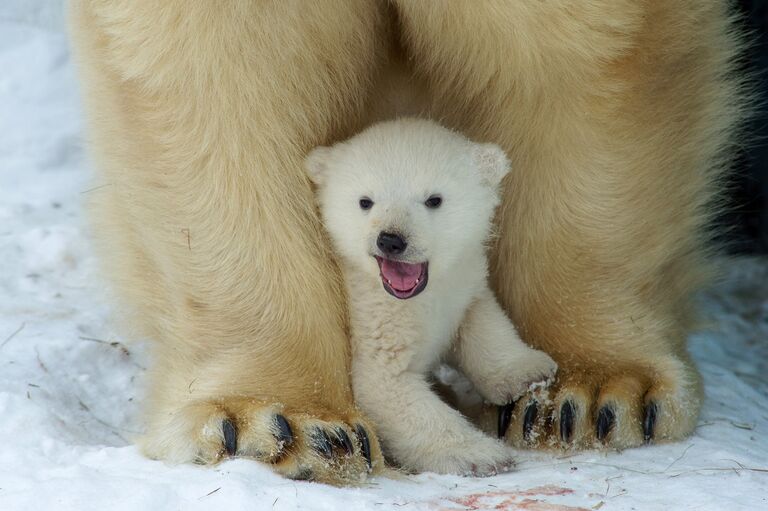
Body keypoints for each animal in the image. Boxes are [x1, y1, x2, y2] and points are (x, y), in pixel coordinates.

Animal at [70, 2, 744, 486]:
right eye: (364, 203)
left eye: (435, 200)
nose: (392, 241)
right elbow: (208, 76)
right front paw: (281, 423)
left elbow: (588, 56)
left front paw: (590, 394)